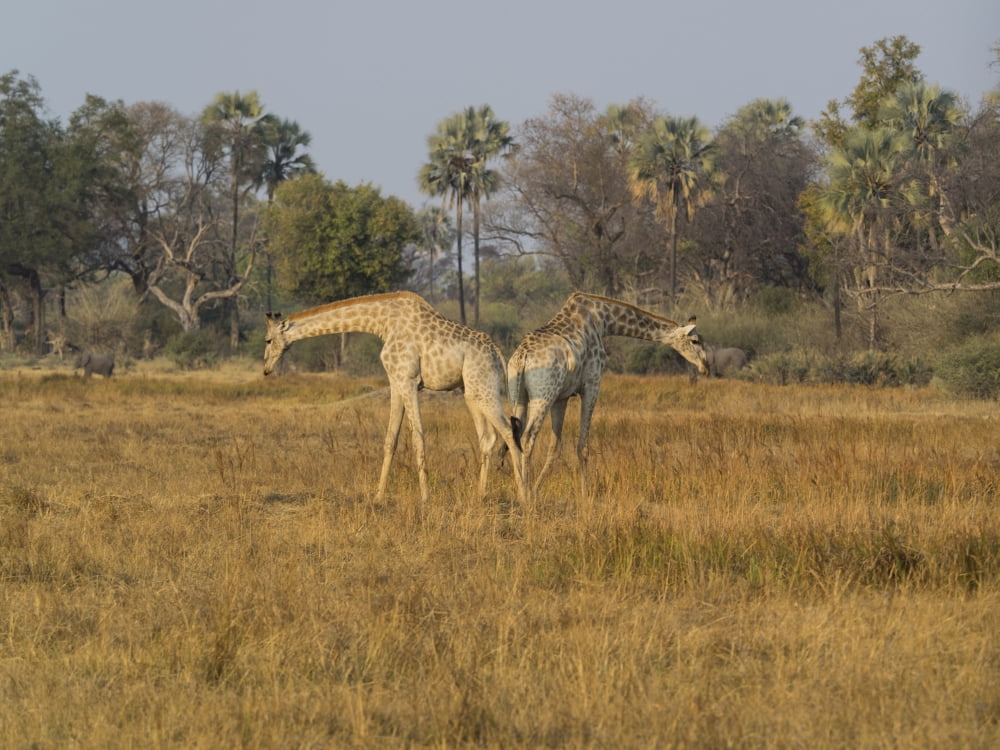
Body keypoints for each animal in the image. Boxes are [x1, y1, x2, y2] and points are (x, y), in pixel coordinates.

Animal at [263, 292, 528, 506]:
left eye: (268, 340)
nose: (265, 369)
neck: (383, 323)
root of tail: (497, 352)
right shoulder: (395, 382)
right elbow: (391, 439)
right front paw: (378, 496)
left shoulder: (409, 381)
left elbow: (417, 438)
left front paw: (425, 497)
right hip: (472, 391)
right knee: (488, 437)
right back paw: (480, 495)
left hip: (483, 387)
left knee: (509, 431)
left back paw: (524, 496)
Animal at [506, 292, 709, 497]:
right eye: (695, 341)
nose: (705, 367)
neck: (604, 319)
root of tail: (522, 358)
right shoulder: (592, 383)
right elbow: (583, 446)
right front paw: (585, 495)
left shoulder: (561, 396)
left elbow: (555, 447)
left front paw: (536, 491)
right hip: (543, 395)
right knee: (528, 436)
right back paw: (525, 495)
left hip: (519, 393)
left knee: (513, 435)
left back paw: (521, 490)